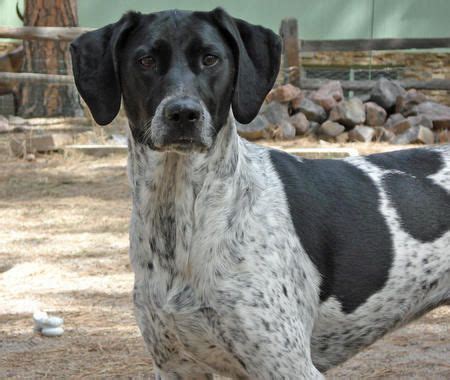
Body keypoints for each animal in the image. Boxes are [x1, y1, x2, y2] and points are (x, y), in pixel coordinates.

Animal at [70, 7, 450, 378]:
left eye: (211, 59)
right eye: (145, 60)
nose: (183, 113)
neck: (183, 217)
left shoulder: (289, 366)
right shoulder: (175, 366)